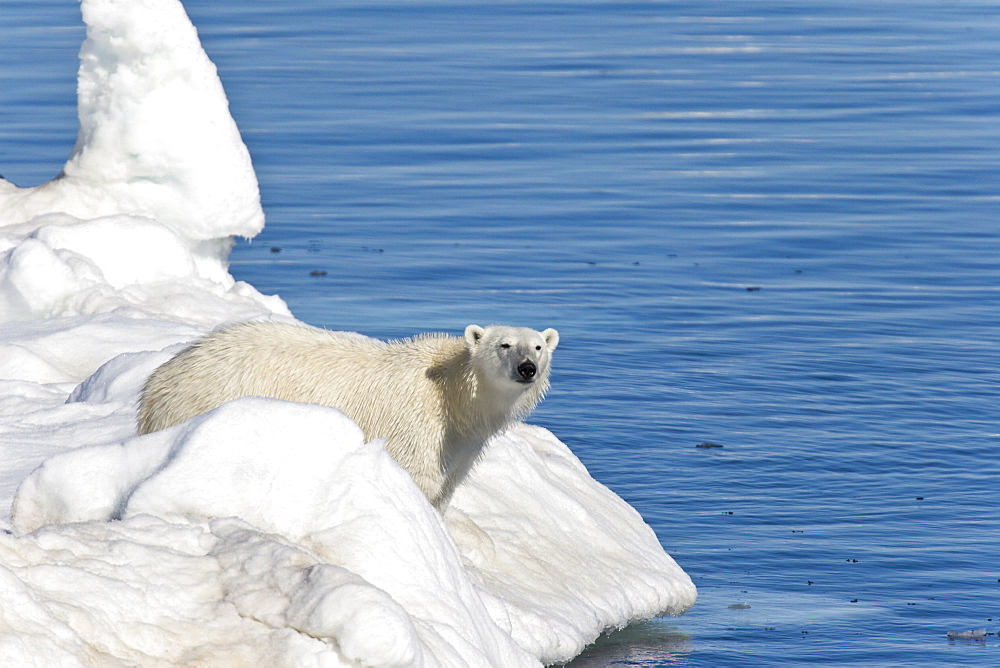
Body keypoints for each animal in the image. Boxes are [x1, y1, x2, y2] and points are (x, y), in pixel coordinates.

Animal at [138, 320, 560, 508]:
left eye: (538, 346)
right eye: (505, 344)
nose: (526, 368)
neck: (452, 394)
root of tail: (158, 381)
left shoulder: (461, 446)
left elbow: (444, 489)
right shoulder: (417, 427)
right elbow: (415, 480)